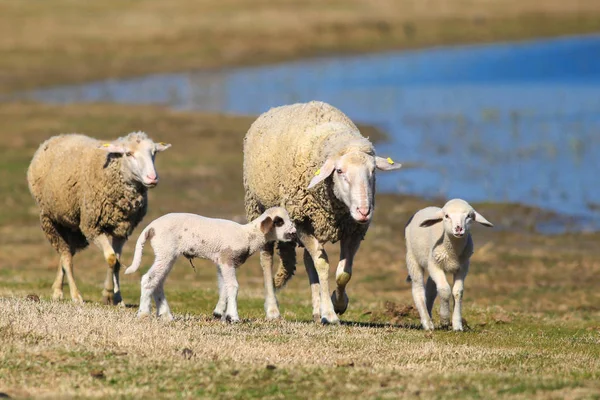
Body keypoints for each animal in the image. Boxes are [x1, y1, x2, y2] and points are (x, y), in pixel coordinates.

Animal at [27, 130, 170, 304]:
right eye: (128, 153)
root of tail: (58, 137)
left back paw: (57, 291)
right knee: (66, 257)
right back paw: (76, 295)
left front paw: (117, 298)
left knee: (66, 252)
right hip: (50, 219)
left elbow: (117, 263)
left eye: (154, 153)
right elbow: (111, 258)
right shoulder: (92, 227)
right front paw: (108, 293)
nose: (152, 178)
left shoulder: (122, 229)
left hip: (72, 225)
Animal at [125, 208, 298, 320]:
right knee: (148, 279)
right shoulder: (226, 259)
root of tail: (151, 227)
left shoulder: (222, 262)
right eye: (279, 222)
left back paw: (166, 315)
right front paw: (233, 317)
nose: (294, 233)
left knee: (158, 282)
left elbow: (224, 287)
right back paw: (143, 313)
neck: (249, 235)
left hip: (167, 254)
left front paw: (221, 314)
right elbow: (233, 286)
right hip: (165, 251)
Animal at [244, 101, 404, 324]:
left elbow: (344, 273)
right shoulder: (300, 222)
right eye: (339, 171)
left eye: (373, 171)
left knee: (307, 259)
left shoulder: (354, 230)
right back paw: (273, 310)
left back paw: (316, 310)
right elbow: (322, 264)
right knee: (266, 258)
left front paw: (338, 304)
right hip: (258, 207)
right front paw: (330, 313)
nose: (364, 211)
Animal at [406, 198, 494, 332]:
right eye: (447, 216)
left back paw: (429, 315)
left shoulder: (463, 267)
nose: (458, 229)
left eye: (469, 216)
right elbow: (445, 290)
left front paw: (457, 325)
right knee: (418, 289)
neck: (453, 251)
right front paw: (445, 319)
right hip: (413, 257)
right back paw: (427, 323)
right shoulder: (434, 265)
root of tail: (426, 208)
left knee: (431, 288)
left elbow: (457, 292)